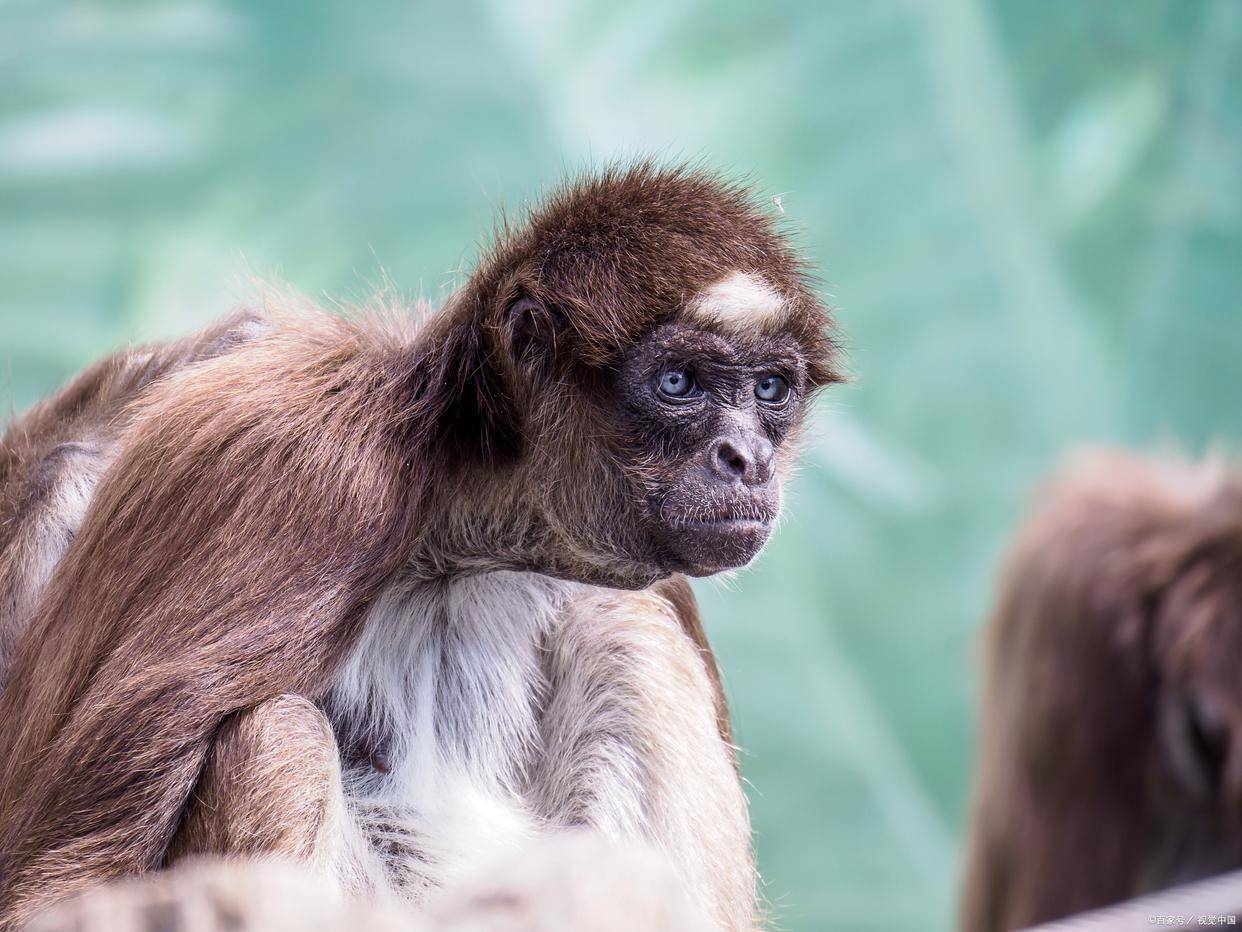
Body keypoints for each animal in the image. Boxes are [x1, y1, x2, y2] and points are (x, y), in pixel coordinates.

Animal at [0, 164, 844, 929]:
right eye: (678, 382)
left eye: (769, 390)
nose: (747, 458)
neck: (452, 550)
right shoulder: (309, 477)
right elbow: (52, 897)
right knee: (283, 739)